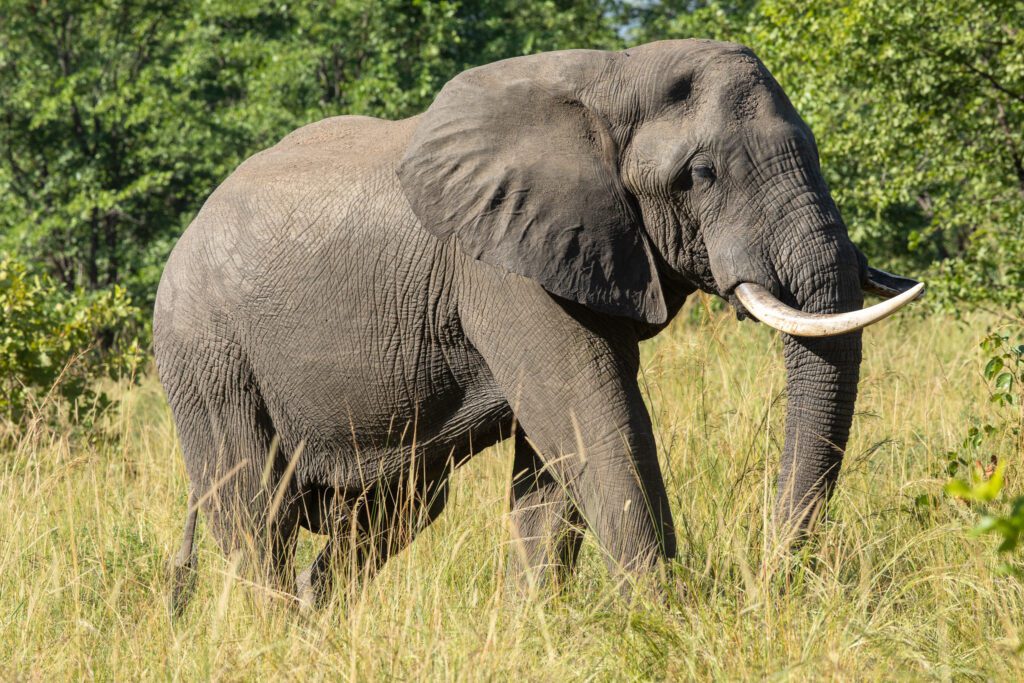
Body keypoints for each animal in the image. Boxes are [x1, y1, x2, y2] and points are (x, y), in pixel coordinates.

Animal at [153, 40, 929, 610]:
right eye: (702, 173)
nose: (767, 582)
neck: (617, 77)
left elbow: (558, 457)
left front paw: (535, 628)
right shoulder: (502, 266)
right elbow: (595, 416)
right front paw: (668, 618)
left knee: (395, 510)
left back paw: (318, 623)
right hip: (204, 352)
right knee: (253, 512)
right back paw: (277, 632)